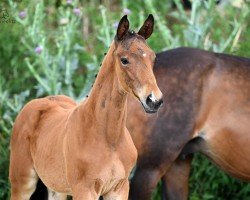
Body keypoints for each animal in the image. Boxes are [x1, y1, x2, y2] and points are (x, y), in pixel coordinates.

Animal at [8, 14, 163, 199]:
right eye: (124, 60)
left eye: (153, 58)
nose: (154, 100)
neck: (109, 138)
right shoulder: (84, 189)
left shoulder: (119, 188)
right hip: (22, 183)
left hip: (56, 188)